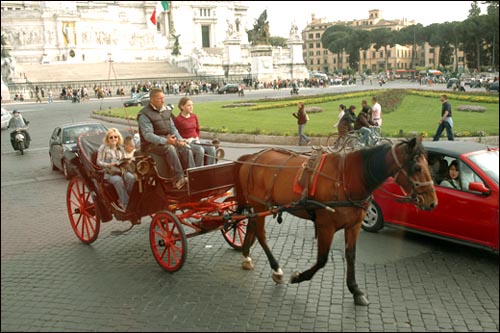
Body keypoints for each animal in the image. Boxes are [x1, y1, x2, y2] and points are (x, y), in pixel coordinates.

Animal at [236, 134, 436, 304]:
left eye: (428, 166)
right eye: (417, 168)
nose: (432, 202)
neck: (346, 179)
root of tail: (252, 157)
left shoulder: (354, 226)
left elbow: (351, 255)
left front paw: (355, 290)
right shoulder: (326, 225)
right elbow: (322, 259)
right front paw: (299, 277)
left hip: (258, 206)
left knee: (252, 225)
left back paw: (246, 255)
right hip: (259, 204)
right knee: (261, 233)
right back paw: (276, 268)